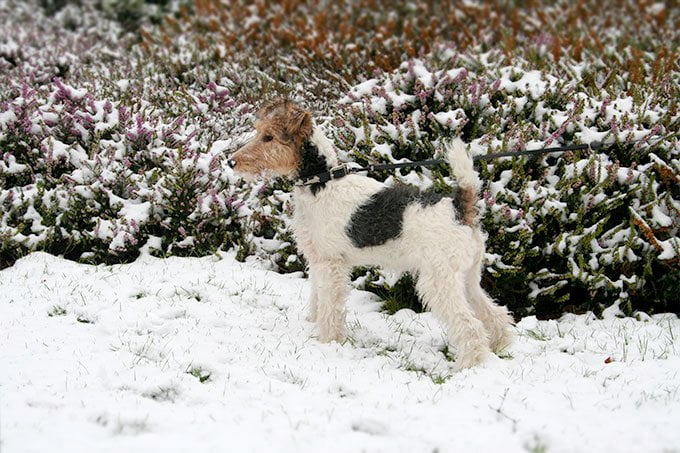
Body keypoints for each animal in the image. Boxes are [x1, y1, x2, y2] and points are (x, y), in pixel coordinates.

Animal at [231, 99, 512, 368]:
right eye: (259, 132)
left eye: (269, 137)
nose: (232, 162)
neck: (322, 183)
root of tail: (459, 206)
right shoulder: (318, 259)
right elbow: (317, 300)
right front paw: (314, 325)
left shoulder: (331, 265)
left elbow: (330, 308)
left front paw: (328, 342)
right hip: (467, 278)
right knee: (494, 315)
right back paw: (499, 347)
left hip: (439, 281)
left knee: (471, 326)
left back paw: (467, 366)